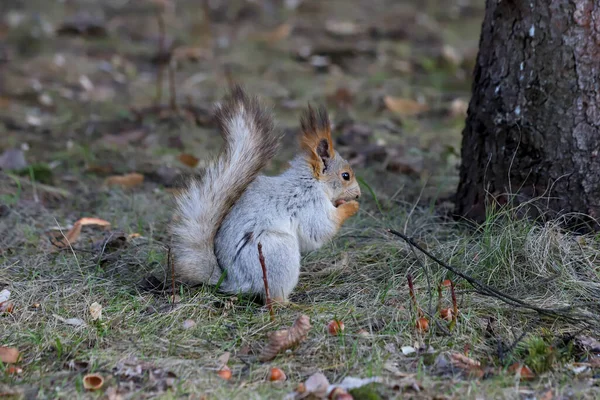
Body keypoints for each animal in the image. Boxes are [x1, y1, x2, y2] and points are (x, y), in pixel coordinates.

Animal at [170, 86, 360, 302]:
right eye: (346, 176)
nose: (358, 194)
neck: (311, 181)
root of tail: (236, 282)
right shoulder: (309, 203)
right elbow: (320, 229)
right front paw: (351, 207)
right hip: (278, 253)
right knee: (273, 296)